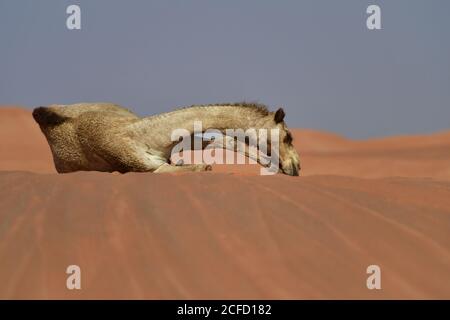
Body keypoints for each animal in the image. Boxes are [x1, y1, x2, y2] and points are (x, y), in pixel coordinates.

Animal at [31, 102, 298, 175]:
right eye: (288, 136)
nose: (296, 166)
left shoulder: (172, 145)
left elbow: (220, 139)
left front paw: (269, 163)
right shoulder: (150, 169)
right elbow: (201, 166)